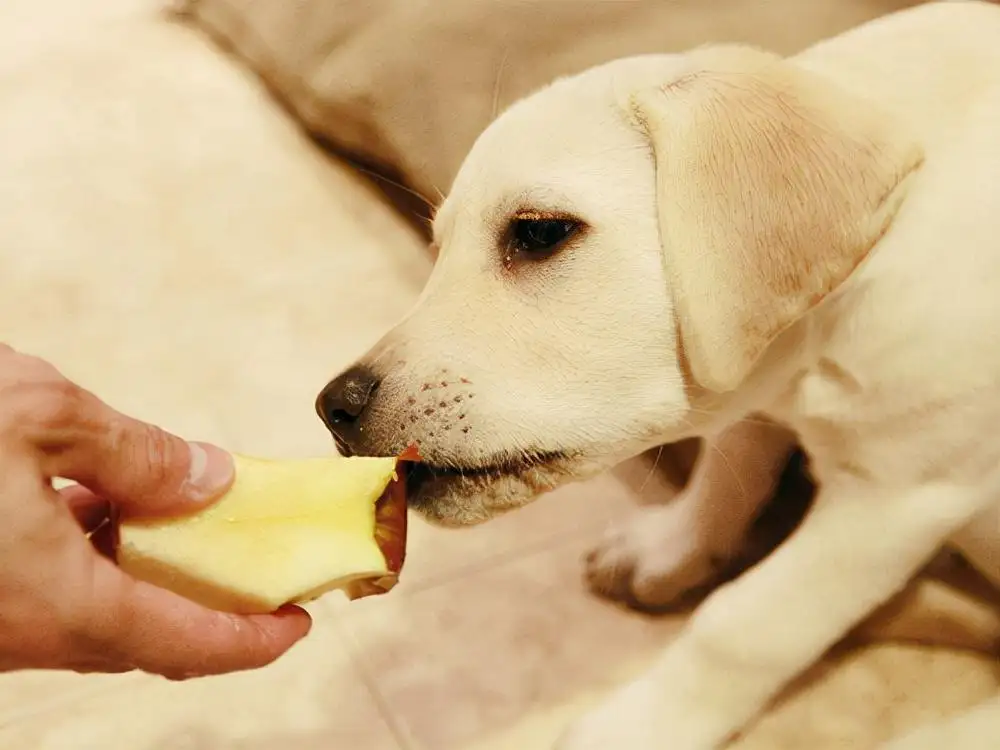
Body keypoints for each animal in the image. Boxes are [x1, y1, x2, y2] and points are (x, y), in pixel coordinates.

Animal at [316, 2, 1000, 748]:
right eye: (436, 248)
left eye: (539, 232)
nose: (334, 408)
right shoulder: (752, 390)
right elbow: (727, 474)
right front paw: (666, 551)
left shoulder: (896, 499)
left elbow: (742, 629)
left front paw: (636, 725)